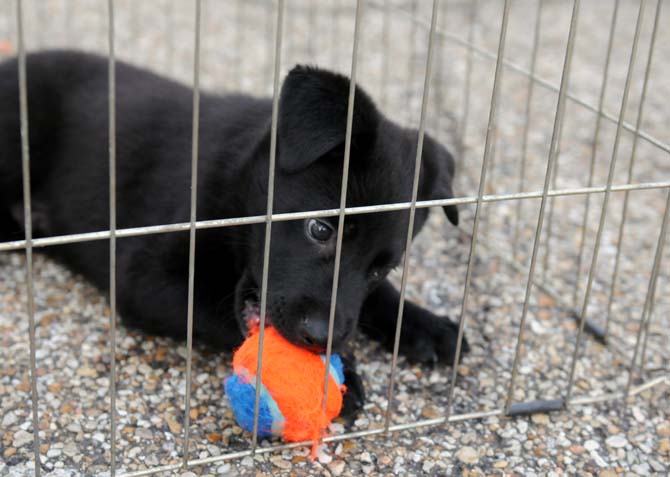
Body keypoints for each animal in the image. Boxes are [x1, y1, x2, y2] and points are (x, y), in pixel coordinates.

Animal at [0, 51, 470, 412]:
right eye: (320, 229)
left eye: (381, 269)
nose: (322, 339)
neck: (237, 184)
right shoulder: (146, 278)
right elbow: (222, 313)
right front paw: (342, 373)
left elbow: (373, 301)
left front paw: (425, 324)